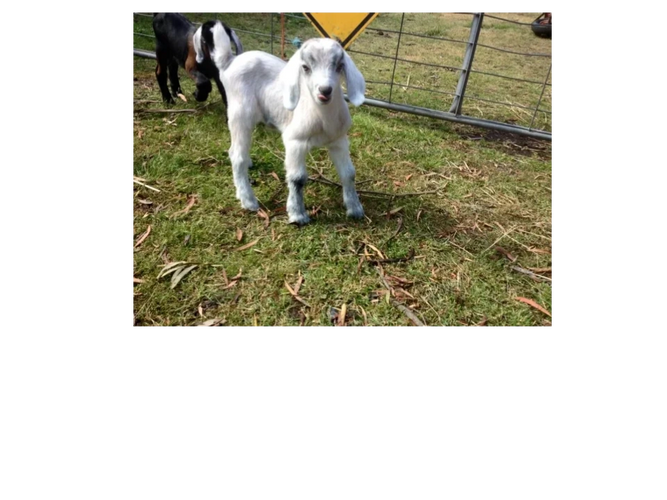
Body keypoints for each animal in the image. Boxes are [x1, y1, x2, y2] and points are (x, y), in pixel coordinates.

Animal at [201, 23, 366, 226]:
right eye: (305, 67)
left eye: (339, 66)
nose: (325, 90)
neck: (322, 116)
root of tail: (230, 61)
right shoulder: (294, 141)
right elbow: (297, 178)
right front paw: (297, 215)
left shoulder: (339, 140)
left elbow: (349, 173)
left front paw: (355, 209)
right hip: (240, 114)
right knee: (236, 156)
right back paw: (248, 200)